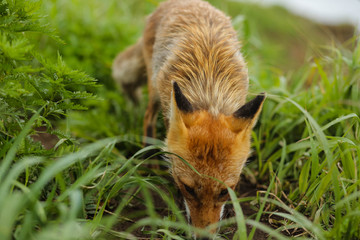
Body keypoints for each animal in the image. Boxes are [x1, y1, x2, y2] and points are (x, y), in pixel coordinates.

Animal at [112, 0, 264, 236]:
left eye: (224, 192)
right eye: (188, 189)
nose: (203, 239)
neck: (209, 90)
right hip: (155, 87)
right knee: (147, 118)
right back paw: (151, 163)